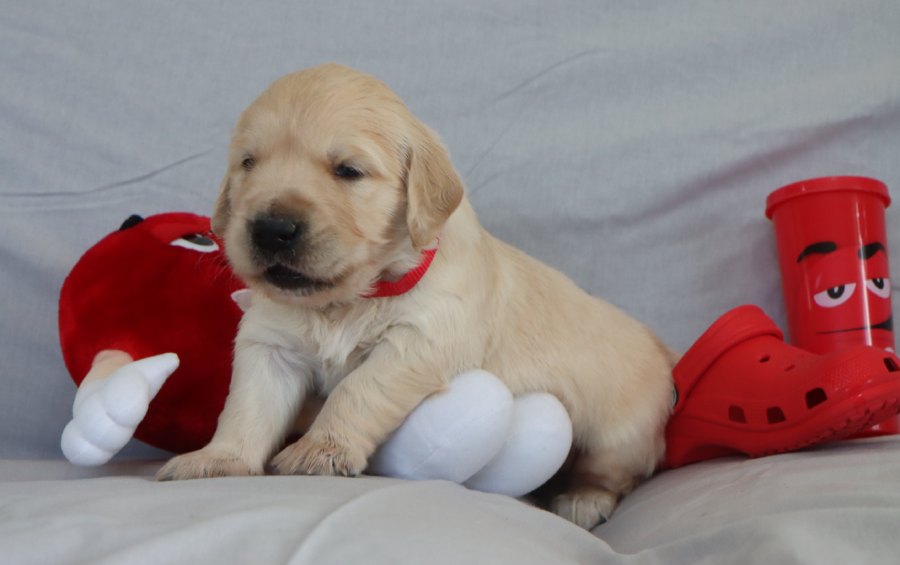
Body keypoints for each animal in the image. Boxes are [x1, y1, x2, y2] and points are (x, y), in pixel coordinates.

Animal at [156, 63, 676, 529]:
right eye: (248, 163)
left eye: (348, 170)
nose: (271, 229)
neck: (347, 299)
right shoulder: (269, 346)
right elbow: (247, 406)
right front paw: (218, 459)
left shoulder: (422, 337)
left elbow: (357, 389)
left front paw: (321, 448)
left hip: (617, 434)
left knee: (619, 473)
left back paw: (584, 499)